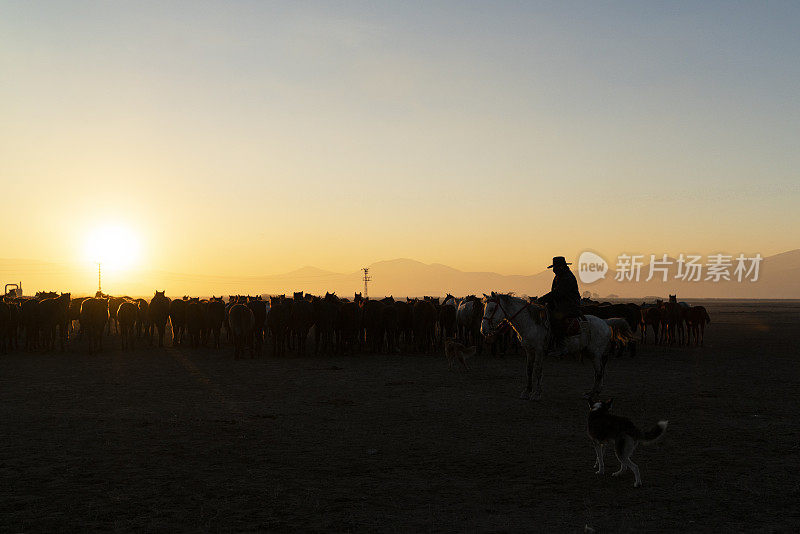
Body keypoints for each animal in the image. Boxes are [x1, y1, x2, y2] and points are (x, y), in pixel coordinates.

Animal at [482, 294, 612, 402]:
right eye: (485, 308)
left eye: (491, 309)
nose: (483, 329)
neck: (531, 324)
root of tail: (606, 324)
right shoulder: (529, 350)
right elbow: (529, 370)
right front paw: (527, 391)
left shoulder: (539, 351)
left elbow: (538, 370)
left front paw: (536, 394)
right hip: (589, 352)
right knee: (598, 371)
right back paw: (593, 392)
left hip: (595, 353)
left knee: (599, 372)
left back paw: (592, 394)